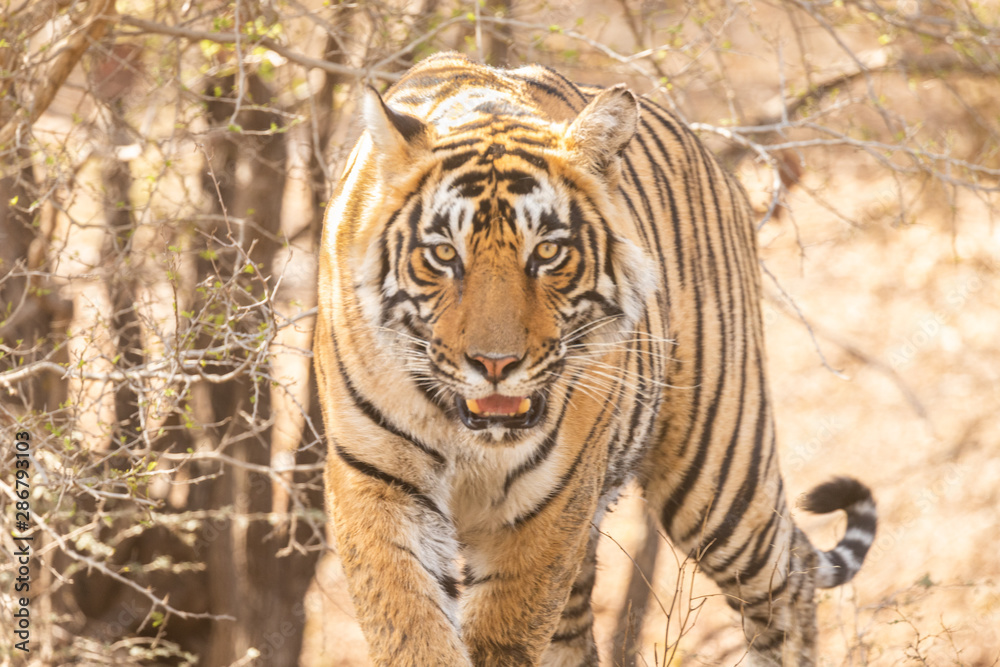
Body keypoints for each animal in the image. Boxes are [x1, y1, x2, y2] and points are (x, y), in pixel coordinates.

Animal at [313, 51, 877, 666]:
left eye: (547, 252)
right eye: (442, 254)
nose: (494, 363)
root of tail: (709, 155)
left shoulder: (548, 507)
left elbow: (503, 634)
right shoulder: (378, 480)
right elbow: (413, 627)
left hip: (719, 471)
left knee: (788, 582)